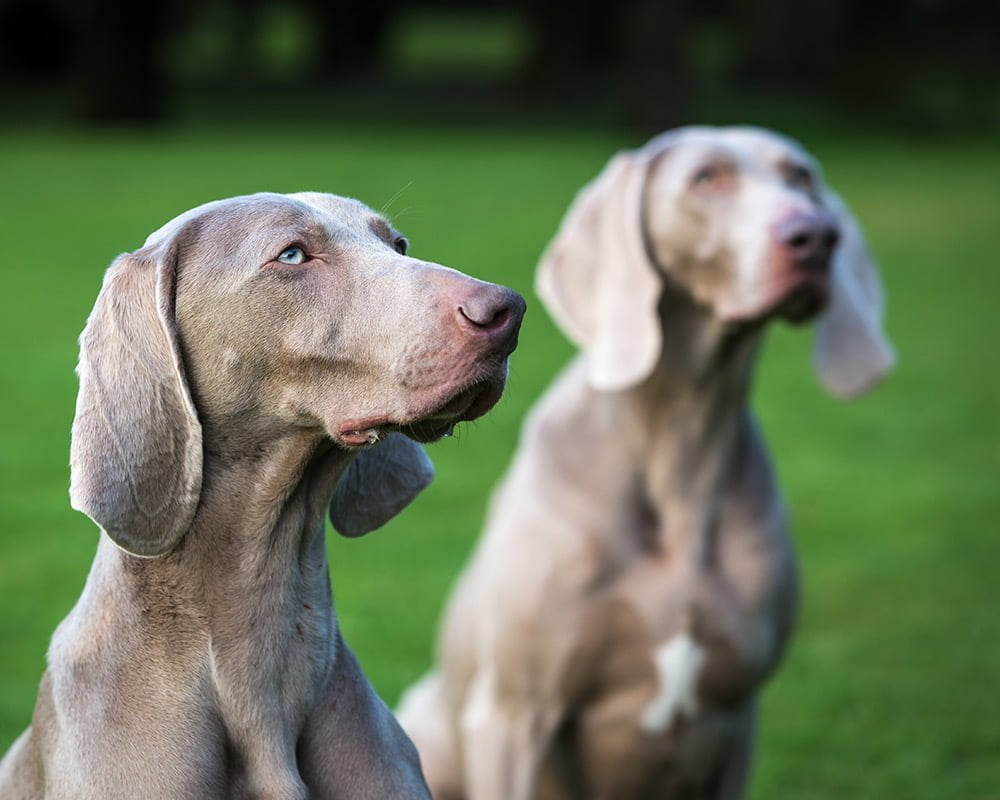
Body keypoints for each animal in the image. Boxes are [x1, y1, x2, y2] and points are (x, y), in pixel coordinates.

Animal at [402, 126, 896, 800]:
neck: (682, 443)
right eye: (706, 178)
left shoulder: (737, 719)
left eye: (801, 176)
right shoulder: (510, 715)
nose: (817, 236)